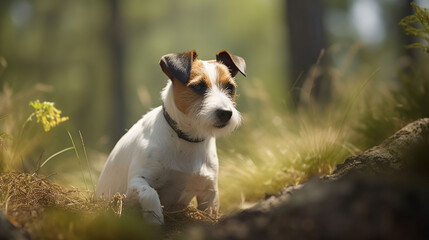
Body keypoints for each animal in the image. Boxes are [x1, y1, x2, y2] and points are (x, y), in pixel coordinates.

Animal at [95, 49, 246, 224]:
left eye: (230, 87)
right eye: (199, 86)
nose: (226, 113)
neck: (187, 139)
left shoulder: (209, 192)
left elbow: (210, 212)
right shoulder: (135, 183)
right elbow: (150, 194)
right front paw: (155, 219)